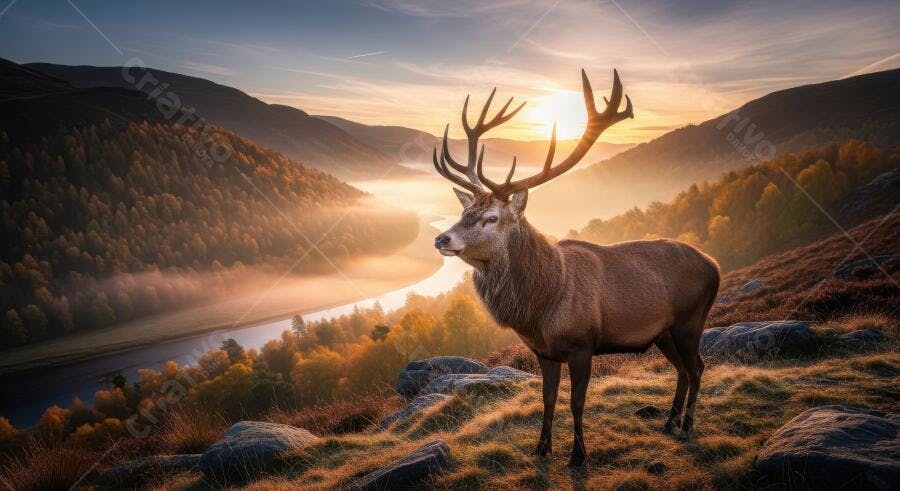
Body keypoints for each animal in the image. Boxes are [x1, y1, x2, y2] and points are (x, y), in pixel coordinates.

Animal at [432, 69, 720, 467]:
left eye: (491, 218)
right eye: (464, 212)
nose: (441, 239)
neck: (542, 307)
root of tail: (715, 264)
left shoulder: (583, 345)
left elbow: (577, 402)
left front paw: (578, 455)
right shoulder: (544, 352)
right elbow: (548, 399)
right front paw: (541, 448)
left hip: (691, 320)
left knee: (697, 367)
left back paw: (687, 426)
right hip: (663, 331)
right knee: (680, 369)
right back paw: (668, 422)